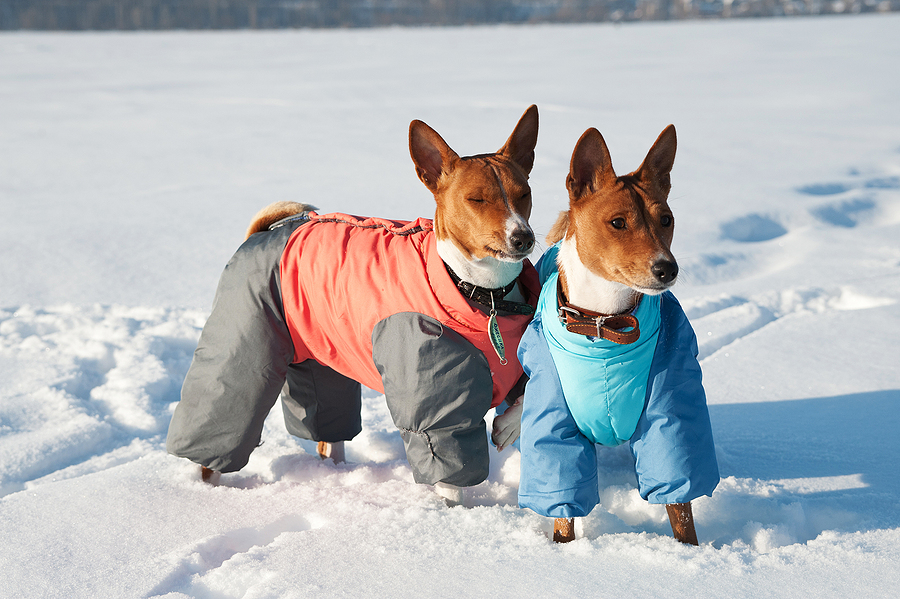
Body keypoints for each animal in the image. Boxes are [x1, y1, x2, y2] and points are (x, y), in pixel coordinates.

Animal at [169, 104, 540, 506]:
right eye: (477, 199)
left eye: (524, 193)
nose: (523, 237)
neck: (485, 296)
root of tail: (263, 232)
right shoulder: (436, 404)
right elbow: (450, 478)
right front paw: (451, 515)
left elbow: (534, 393)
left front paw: (507, 427)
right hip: (245, 347)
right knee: (220, 422)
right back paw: (206, 493)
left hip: (323, 357)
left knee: (328, 429)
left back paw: (338, 474)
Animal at [512, 124, 716, 548]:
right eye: (618, 223)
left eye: (667, 219)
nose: (667, 268)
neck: (604, 327)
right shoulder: (555, 422)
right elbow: (563, 505)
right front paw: (562, 551)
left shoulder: (668, 413)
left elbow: (680, 506)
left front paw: (690, 553)